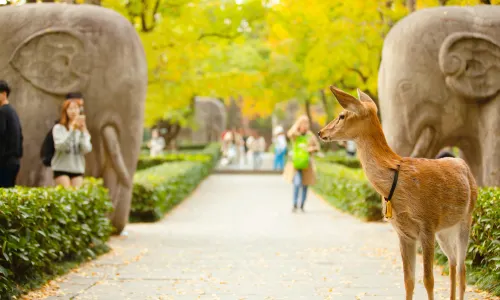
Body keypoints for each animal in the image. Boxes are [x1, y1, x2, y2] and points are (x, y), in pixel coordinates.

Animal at [318, 85, 478, 298]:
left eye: (342, 115)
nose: (320, 132)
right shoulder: (403, 233)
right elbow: (408, 280)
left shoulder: (427, 223)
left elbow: (428, 280)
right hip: (445, 229)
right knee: (452, 261)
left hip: (466, 219)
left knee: (462, 269)